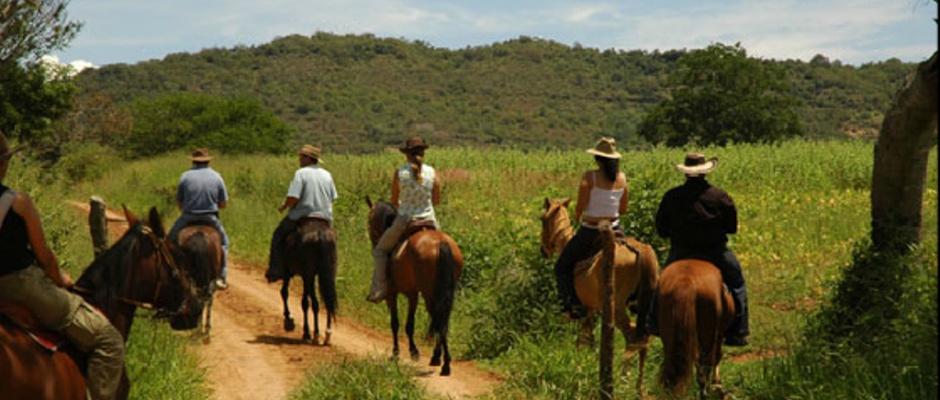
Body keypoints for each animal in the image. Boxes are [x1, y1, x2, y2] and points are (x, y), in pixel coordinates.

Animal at [279, 216, 338, 345]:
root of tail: (320, 234)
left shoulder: (291, 272)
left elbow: (286, 293)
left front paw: (290, 321)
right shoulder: (306, 275)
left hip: (308, 273)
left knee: (314, 302)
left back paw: (315, 333)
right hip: (328, 271)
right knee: (328, 300)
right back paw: (327, 334)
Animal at [365, 197, 463, 376]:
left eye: (369, 221)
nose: (374, 242)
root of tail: (441, 243)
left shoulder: (393, 294)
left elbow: (396, 323)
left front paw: (398, 353)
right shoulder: (413, 294)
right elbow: (409, 324)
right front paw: (413, 351)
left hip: (429, 293)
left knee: (438, 320)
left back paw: (444, 364)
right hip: (441, 292)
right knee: (442, 320)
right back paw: (438, 358)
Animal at [540, 198, 659, 395]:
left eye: (542, 219)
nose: (543, 250)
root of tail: (640, 250)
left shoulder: (583, 309)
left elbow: (583, 338)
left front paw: (578, 363)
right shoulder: (591, 310)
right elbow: (588, 339)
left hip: (617, 308)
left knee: (633, 337)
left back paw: (623, 378)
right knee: (643, 339)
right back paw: (639, 388)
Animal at [657, 259, 735, 399]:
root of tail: (686, 281)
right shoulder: (719, 334)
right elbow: (716, 357)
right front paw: (718, 386)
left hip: (668, 336)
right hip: (708, 335)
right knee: (707, 363)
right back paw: (705, 392)